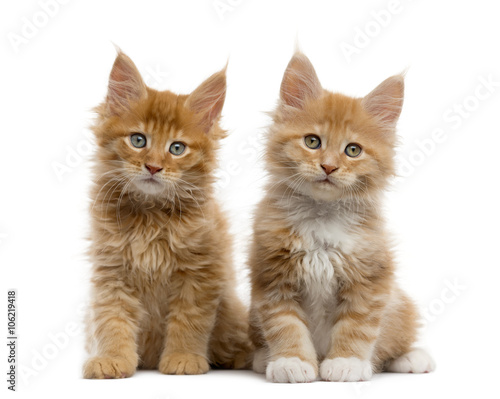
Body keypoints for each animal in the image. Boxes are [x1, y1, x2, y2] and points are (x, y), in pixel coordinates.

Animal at [84, 51, 254, 380]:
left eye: (177, 148)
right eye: (138, 140)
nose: (153, 167)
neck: (151, 217)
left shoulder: (199, 273)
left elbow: (189, 321)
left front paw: (184, 358)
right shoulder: (112, 272)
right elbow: (113, 320)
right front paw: (112, 358)